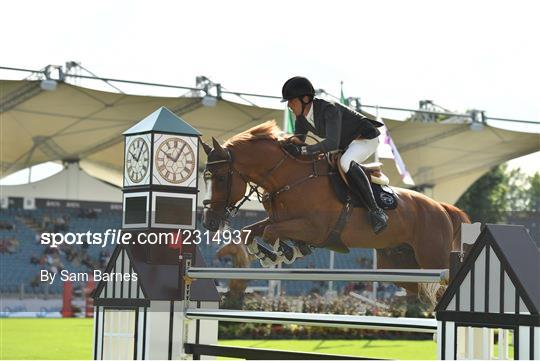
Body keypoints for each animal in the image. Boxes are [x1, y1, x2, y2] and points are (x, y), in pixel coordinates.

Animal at [200, 121, 470, 300]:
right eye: (206, 176)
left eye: (221, 178)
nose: (209, 223)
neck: (289, 177)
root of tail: (443, 208)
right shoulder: (279, 219)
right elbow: (250, 232)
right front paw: (274, 252)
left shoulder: (316, 229)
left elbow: (271, 233)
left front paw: (284, 252)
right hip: (401, 267)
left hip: (432, 258)